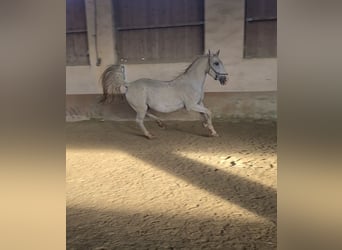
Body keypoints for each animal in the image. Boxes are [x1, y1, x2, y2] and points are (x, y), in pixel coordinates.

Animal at [99, 48, 227, 139]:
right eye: (216, 63)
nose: (224, 79)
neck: (191, 82)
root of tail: (129, 84)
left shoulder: (199, 103)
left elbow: (205, 114)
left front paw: (209, 129)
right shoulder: (191, 106)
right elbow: (209, 112)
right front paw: (212, 131)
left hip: (143, 107)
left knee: (147, 114)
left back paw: (160, 124)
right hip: (141, 108)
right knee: (139, 120)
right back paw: (149, 135)